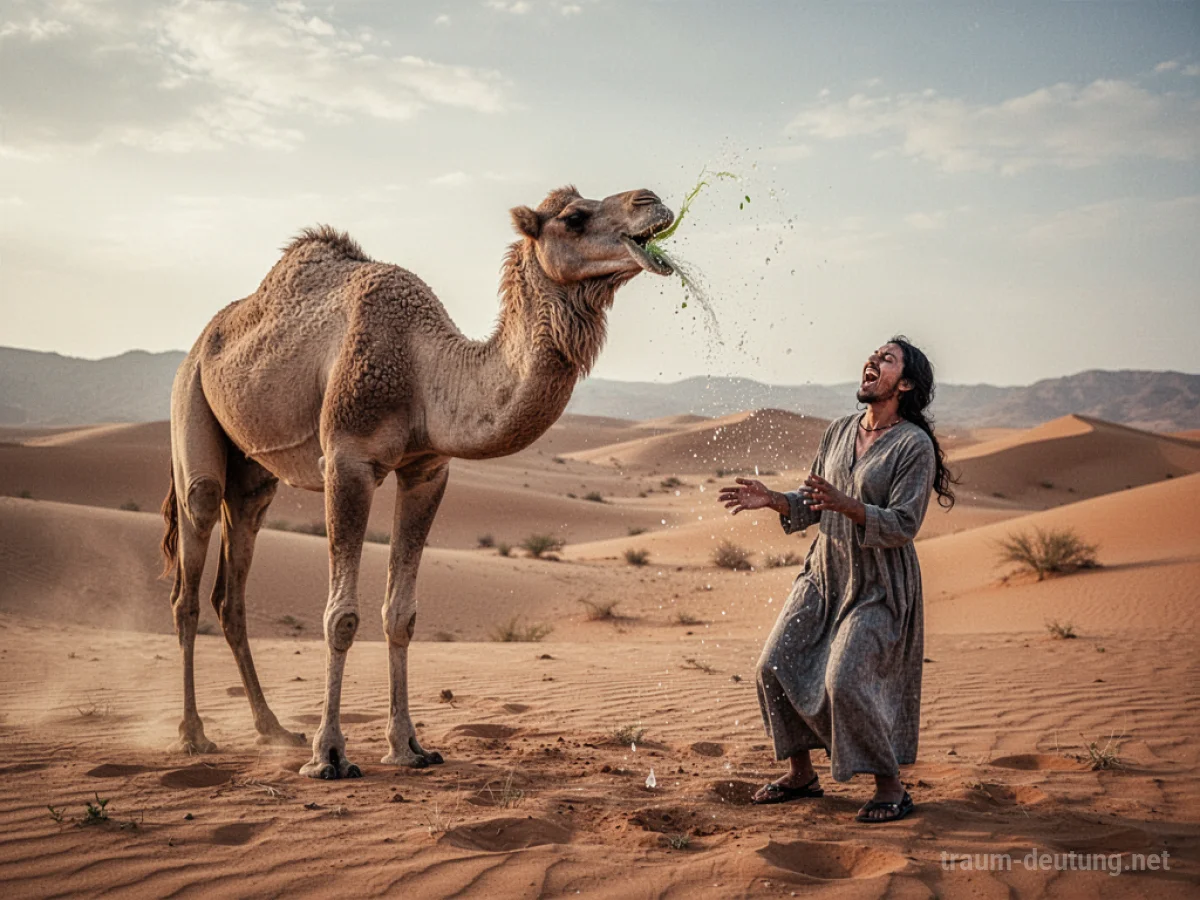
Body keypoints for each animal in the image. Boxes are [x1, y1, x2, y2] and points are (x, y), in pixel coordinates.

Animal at [160, 186, 674, 778]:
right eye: (573, 218)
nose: (651, 200)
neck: (425, 372)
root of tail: (204, 339)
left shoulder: (427, 470)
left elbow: (400, 614)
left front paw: (409, 746)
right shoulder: (347, 460)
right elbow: (341, 616)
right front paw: (329, 754)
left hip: (253, 476)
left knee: (232, 587)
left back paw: (273, 729)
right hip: (190, 401)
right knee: (190, 569)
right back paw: (193, 735)